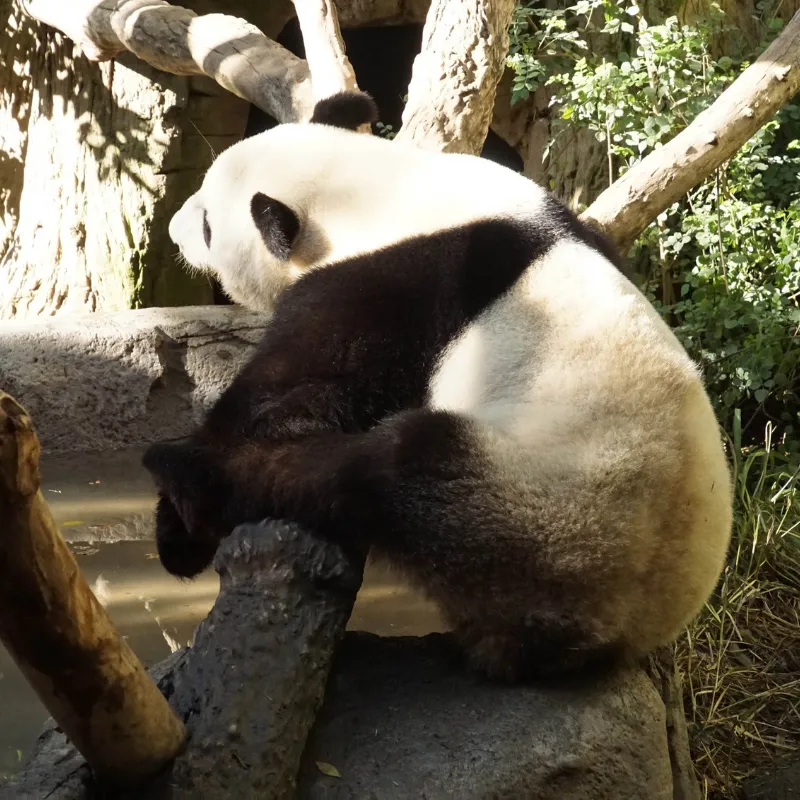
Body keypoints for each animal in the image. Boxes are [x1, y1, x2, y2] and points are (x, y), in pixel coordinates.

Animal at [142, 92, 732, 680]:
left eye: (209, 224)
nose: (173, 230)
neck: (373, 191)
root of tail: (624, 636)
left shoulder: (395, 285)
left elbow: (299, 386)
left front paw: (179, 517)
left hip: (544, 514)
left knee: (385, 473)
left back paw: (192, 471)